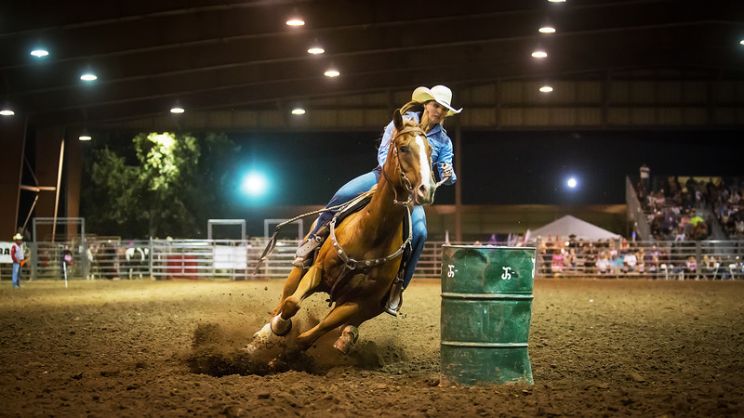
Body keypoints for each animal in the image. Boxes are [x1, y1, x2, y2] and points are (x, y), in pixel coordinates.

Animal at [251, 109, 434, 354]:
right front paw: (277, 328)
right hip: (300, 267)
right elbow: (292, 303)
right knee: (285, 296)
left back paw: (346, 338)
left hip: (371, 307)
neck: (371, 233)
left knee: (350, 323)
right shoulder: (317, 269)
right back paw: (261, 335)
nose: (427, 189)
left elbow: (312, 334)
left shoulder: (359, 302)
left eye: (430, 151)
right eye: (403, 148)